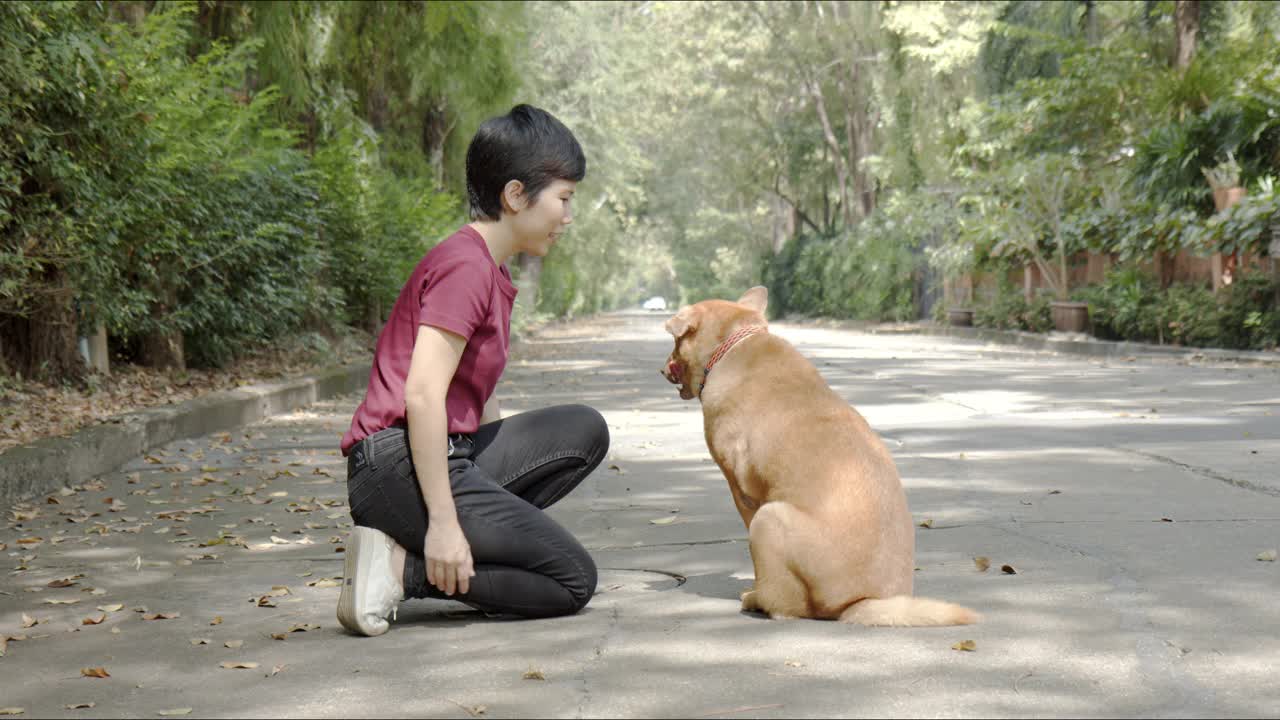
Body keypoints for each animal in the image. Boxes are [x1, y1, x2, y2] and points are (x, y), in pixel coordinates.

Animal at [665, 285, 972, 622]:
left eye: (675, 343)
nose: (663, 365)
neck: (735, 342)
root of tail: (860, 602)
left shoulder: (742, 493)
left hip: (768, 519)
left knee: (785, 605)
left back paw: (755, 599)